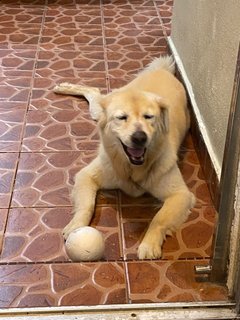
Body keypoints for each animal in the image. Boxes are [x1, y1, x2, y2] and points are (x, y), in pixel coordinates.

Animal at [54, 55, 195, 260]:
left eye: (149, 117)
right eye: (121, 118)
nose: (139, 137)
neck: (132, 167)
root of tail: (163, 71)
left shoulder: (181, 195)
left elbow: (158, 220)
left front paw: (149, 245)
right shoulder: (86, 176)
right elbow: (86, 205)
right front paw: (76, 226)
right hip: (101, 107)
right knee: (94, 92)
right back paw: (64, 86)